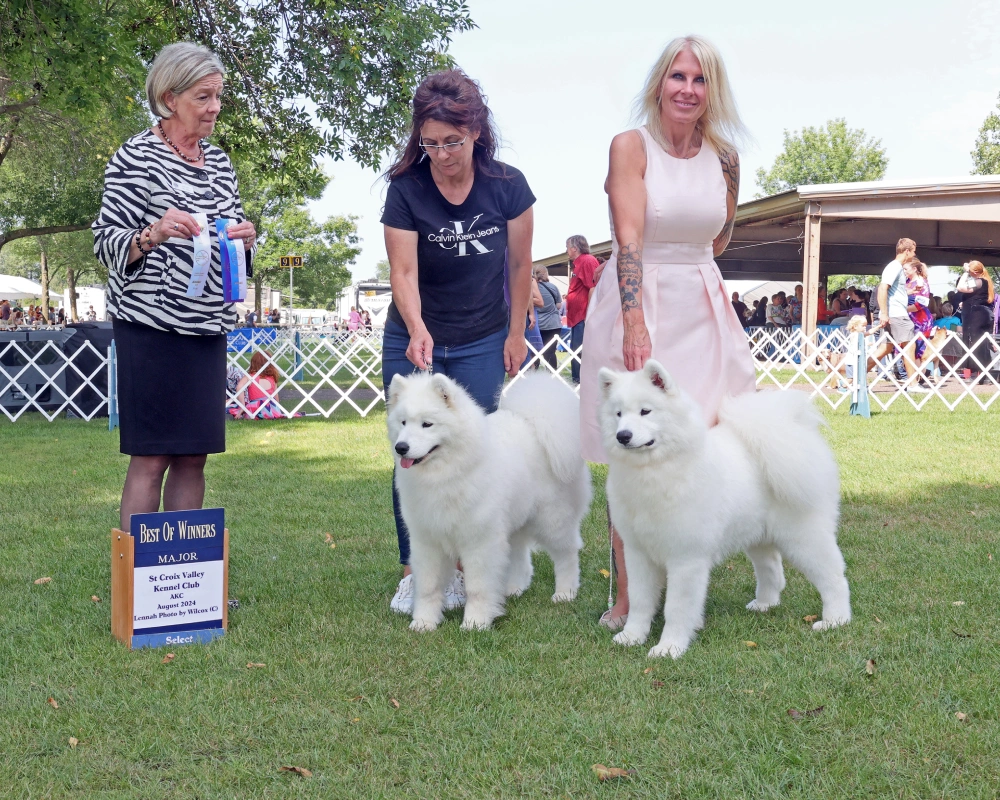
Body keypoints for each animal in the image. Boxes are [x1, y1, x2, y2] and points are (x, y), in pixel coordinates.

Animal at [384, 372, 588, 636]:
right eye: (403, 423)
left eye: (427, 424)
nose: (401, 448)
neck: (447, 474)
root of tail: (532, 422)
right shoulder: (427, 541)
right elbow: (428, 587)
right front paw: (424, 623)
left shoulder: (479, 542)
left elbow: (477, 588)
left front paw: (475, 623)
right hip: (513, 520)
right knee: (520, 554)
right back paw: (513, 588)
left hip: (552, 520)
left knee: (567, 554)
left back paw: (565, 593)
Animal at [596, 360, 848, 660]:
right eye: (618, 414)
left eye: (646, 411)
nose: (623, 436)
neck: (656, 471)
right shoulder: (638, 553)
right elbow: (640, 601)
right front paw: (632, 636)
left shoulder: (686, 558)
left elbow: (676, 608)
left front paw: (669, 648)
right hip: (758, 536)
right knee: (772, 570)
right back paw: (764, 604)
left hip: (804, 536)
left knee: (833, 576)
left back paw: (835, 620)